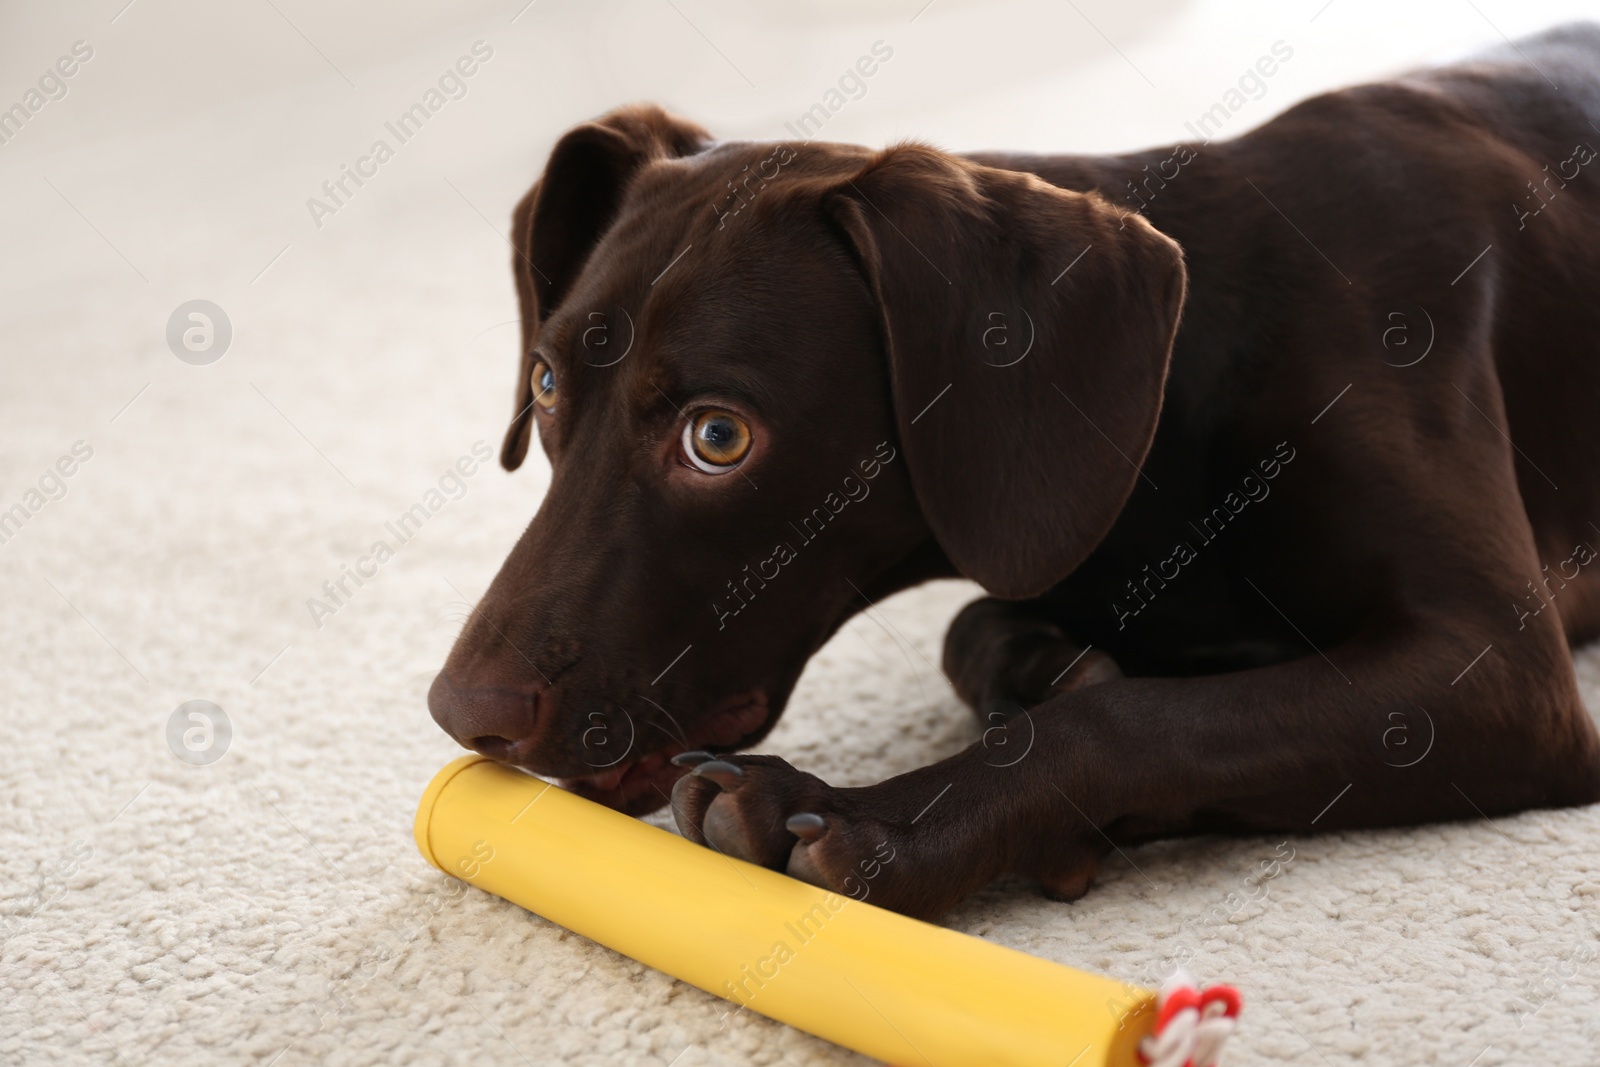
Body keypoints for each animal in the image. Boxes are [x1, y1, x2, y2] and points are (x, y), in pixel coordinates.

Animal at [425, 29, 1600, 921]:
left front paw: (876, 819)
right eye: (544, 384)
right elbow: (980, 627)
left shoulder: (1493, 667)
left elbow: (1133, 717)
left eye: (719, 437)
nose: (460, 711)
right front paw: (1049, 674)